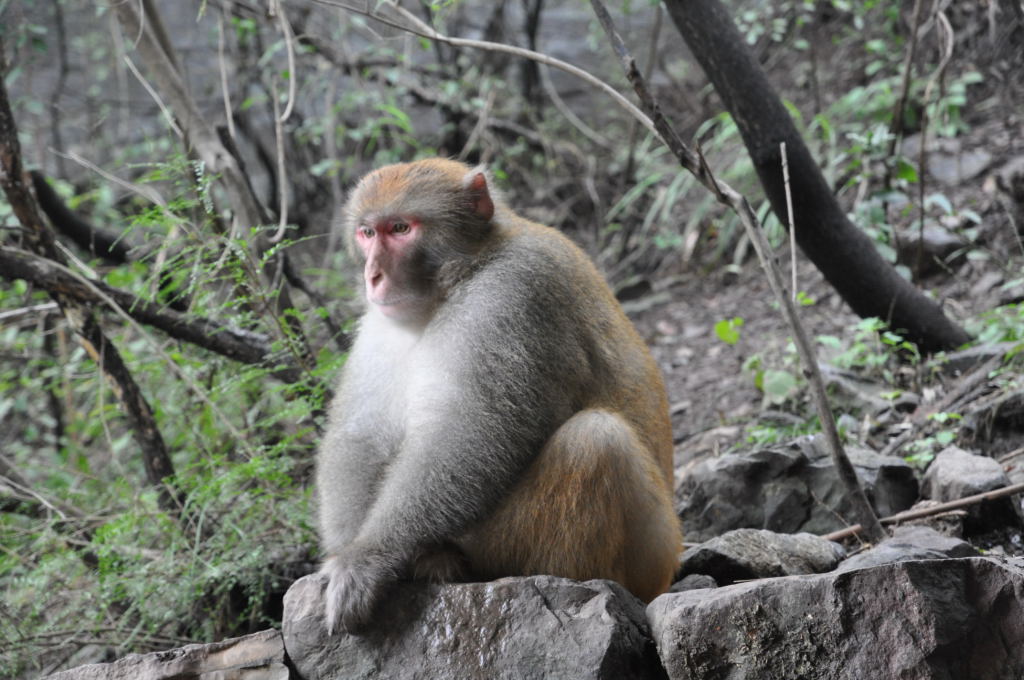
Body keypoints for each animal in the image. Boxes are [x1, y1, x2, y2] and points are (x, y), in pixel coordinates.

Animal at [313, 157, 679, 630]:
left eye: (400, 228)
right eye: (367, 232)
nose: (373, 276)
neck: (467, 272)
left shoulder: (512, 294)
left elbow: (473, 431)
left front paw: (366, 558)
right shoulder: (380, 324)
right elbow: (362, 434)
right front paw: (346, 552)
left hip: (641, 558)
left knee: (596, 441)